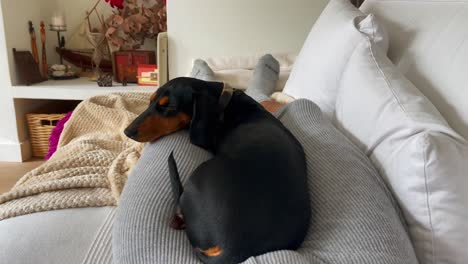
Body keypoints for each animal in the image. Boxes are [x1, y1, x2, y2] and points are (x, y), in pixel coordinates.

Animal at [124, 77, 310, 262]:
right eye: (150, 101)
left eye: (169, 107)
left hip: (197, 177)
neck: (224, 101)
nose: (127, 131)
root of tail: (232, 249)